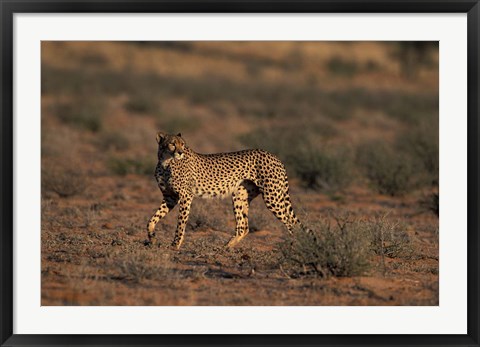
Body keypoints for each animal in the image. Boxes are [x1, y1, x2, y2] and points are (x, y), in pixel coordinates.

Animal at [144, 133, 306, 250]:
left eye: (182, 144)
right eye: (172, 143)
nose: (180, 152)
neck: (166, 162)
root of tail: (274, 156)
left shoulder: (185, 196)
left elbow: (180, 223)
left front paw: (175, 245)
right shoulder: (170, 197)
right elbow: (152, 219)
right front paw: (152, 238)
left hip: (272, 197)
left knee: (291, 224)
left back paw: (294, 247)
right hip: (240, 195)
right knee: (243, 227)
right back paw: (226, 247)